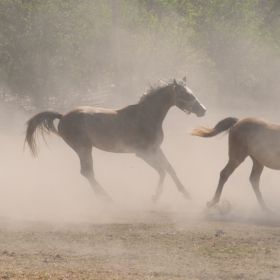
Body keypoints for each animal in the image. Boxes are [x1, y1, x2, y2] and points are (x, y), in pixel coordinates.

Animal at [25, 79, 206, 203]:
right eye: (186, 94)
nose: (203, 110)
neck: (145, 116)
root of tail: (62, 115)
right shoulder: (142, 153)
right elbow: (162, 171)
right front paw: (155, 196)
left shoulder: (156, 149)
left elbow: (170, 169)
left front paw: (186, 193)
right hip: (83, 148)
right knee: (86, 172)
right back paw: (106, 197)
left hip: (85, 148)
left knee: (88, 173)